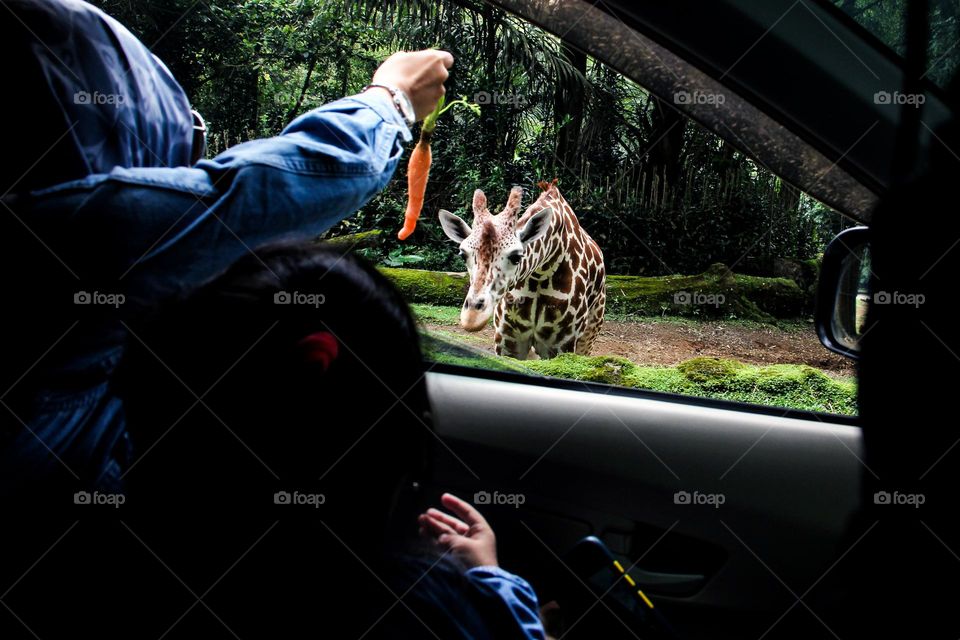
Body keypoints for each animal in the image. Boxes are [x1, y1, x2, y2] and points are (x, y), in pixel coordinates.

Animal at [438, 181, 604, 360]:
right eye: (463, 255)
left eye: (516, 256)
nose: (472, 318)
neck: (540, 274)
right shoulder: (508, 341)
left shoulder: (561, 344)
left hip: (589, 334)